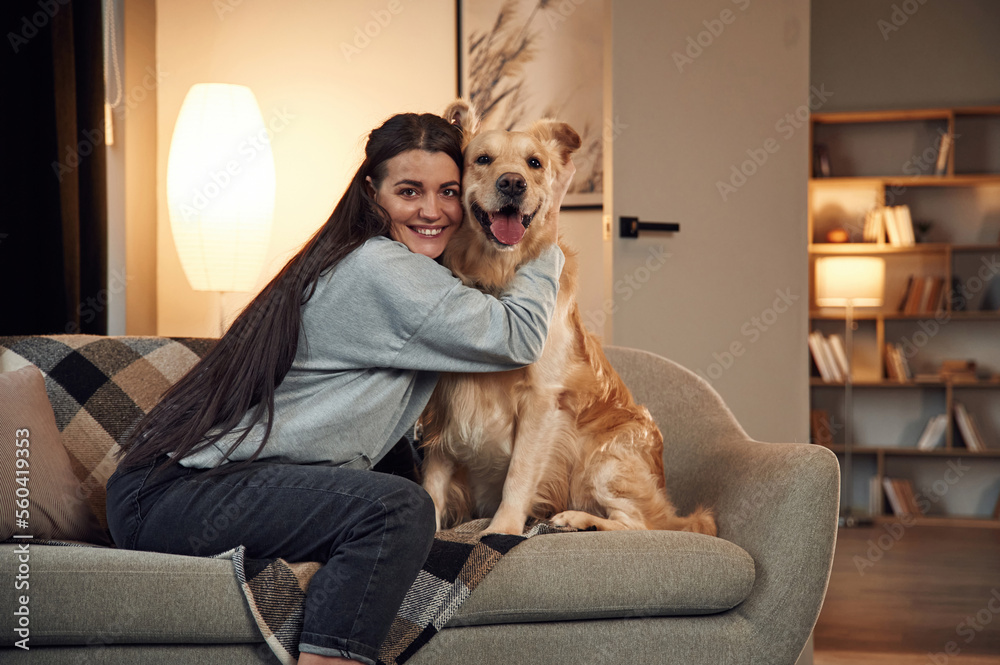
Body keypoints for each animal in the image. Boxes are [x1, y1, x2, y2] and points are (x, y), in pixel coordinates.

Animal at [418, 101, 716, 536]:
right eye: (483, 159)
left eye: (535, 163)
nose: (513, 183)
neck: (496, 275)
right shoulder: (445, 406)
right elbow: (432, 485)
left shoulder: (542, 400)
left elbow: (519, 474)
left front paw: (502, 529)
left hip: (605, 459)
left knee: (640, 525)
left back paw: (577, 520)